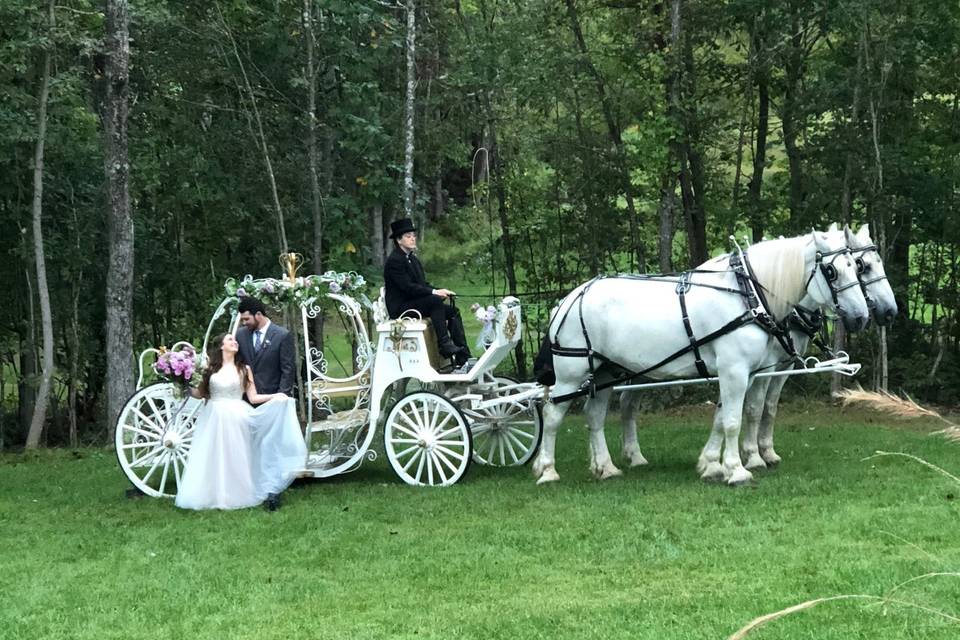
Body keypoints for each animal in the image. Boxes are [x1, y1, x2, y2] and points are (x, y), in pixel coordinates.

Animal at [532, 230, 872, 484]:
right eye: (831, 270)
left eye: (857, 266)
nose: (861, 317)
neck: (749, 295)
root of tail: (567, 299)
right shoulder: (734, 370)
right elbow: (733, 420)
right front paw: (736, 470)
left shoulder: (744, 373)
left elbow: (723, 418)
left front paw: (712, 465)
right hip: (572, 374)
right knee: (551, 413)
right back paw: (547, 469)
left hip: (606, 371)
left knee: (594, 415)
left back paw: (606, 467)